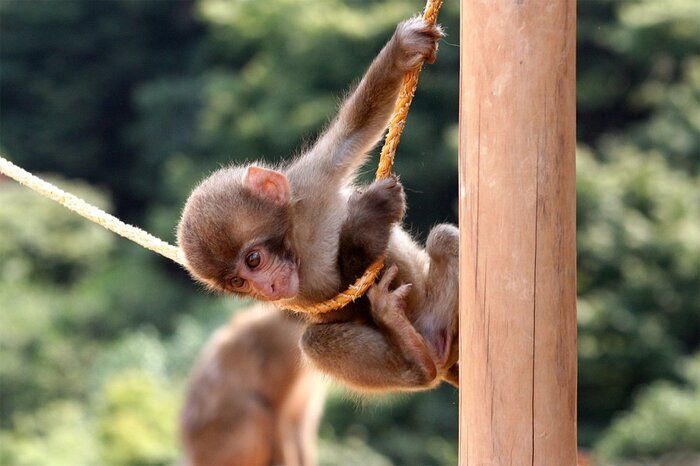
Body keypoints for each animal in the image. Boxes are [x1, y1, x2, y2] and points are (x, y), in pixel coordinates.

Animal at [177, 17, 459, 392]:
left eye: (253, 260)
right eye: (238, 282)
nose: (267, 289)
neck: (298, 242)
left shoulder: (312, 182)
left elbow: (354, 132)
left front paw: (401, 52)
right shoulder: (296, 295)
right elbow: (343, 306)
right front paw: (365, 224)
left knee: (444, 239)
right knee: (315, 341)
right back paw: (415, 357)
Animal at [180, 303, 326, 466]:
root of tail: (191, 456)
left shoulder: (304, 411)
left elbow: (305, 452)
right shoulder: (278, 404)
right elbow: (286, 451)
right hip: (254, 413)